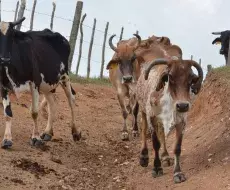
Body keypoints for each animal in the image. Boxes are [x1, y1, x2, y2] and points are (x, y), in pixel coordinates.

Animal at [0, 17, 81, 148]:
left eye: (12, 36)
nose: (4, 59)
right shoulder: (4, 86)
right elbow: (7, 113)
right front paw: (7, 139)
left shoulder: (35, 83)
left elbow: (34, 112)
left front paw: (35, 138)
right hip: (48, 85)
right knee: (52, 104)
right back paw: (48, 132)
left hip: (64, 76)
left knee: (71, 100)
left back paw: (75, 132)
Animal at [136, 43, 202, 183]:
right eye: (170, 76)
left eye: (191, 78)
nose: (182, 105)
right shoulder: (152, 117)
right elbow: (155, 143)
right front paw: (156, 168)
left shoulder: (181, 122)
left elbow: (177, 148)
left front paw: (178, 172)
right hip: (143, 110)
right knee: (143, 131)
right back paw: (144, 156)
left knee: (162, 135)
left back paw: (165, 157)